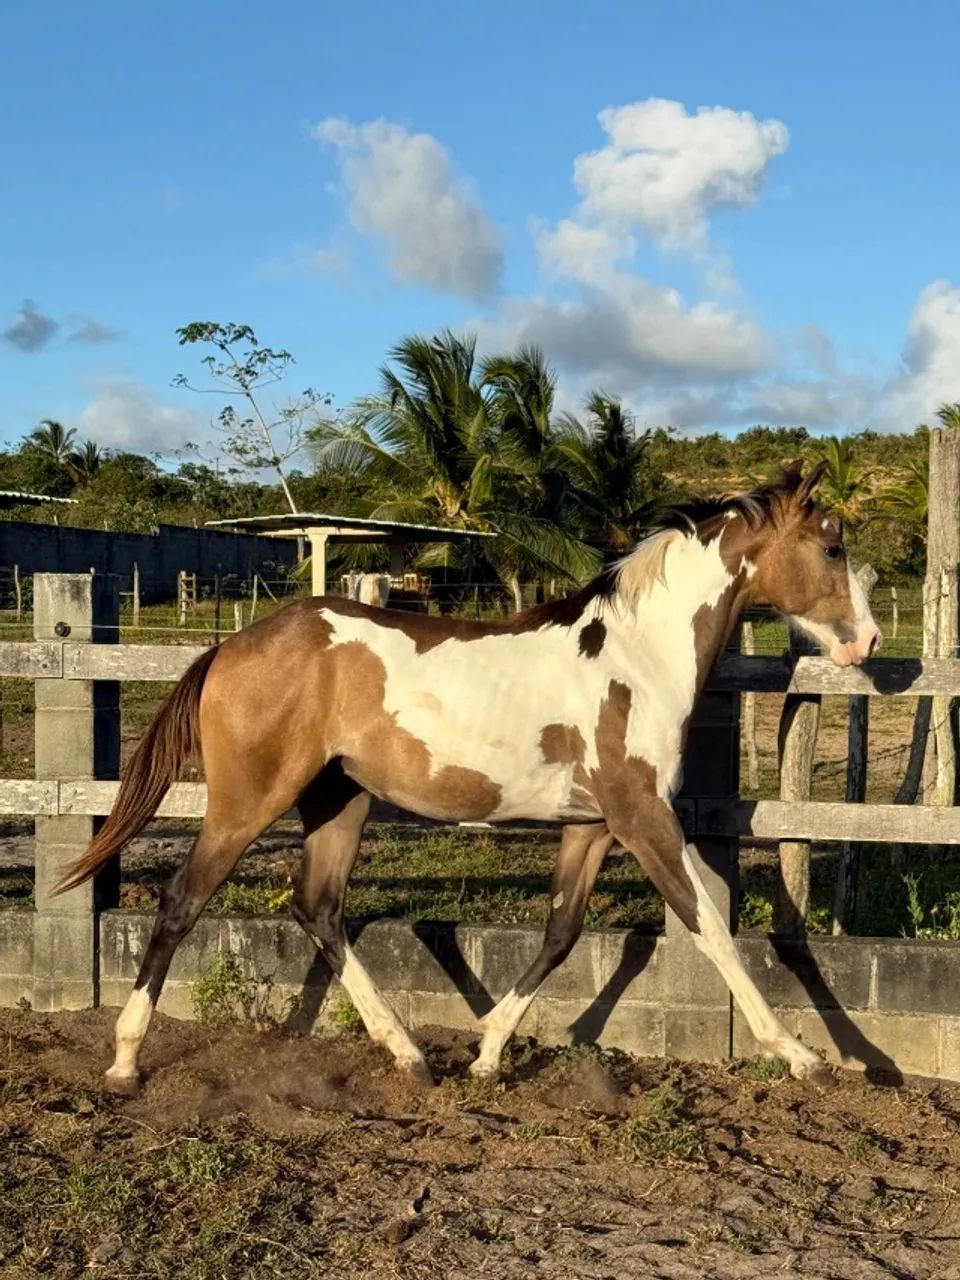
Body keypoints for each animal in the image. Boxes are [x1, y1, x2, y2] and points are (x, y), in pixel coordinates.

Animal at [57, 463, 881, 1093]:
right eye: (832, 546)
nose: (867, 641)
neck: (636, 658)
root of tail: (229, 647)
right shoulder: (642, 815)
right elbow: (710, 925)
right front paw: (806, 1056)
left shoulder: (591, 825)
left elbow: (560, 934)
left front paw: (485, 1052)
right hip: (248, 803)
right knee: (181, 901)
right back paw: (125, 1062)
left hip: (339, 800)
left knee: (319, 909)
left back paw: (410, 1055)